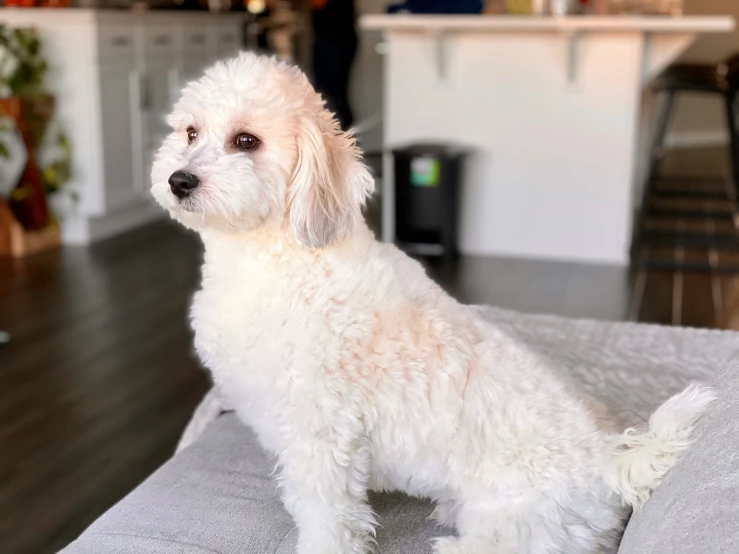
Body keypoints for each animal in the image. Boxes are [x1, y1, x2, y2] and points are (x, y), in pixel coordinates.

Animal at [152, 52, 716, 552]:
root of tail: (609, 460)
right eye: (190, 133)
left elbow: (328, 518)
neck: (278, 252)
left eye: (246, 141)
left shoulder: (321, 437)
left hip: (513, 531)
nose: (178, 180)